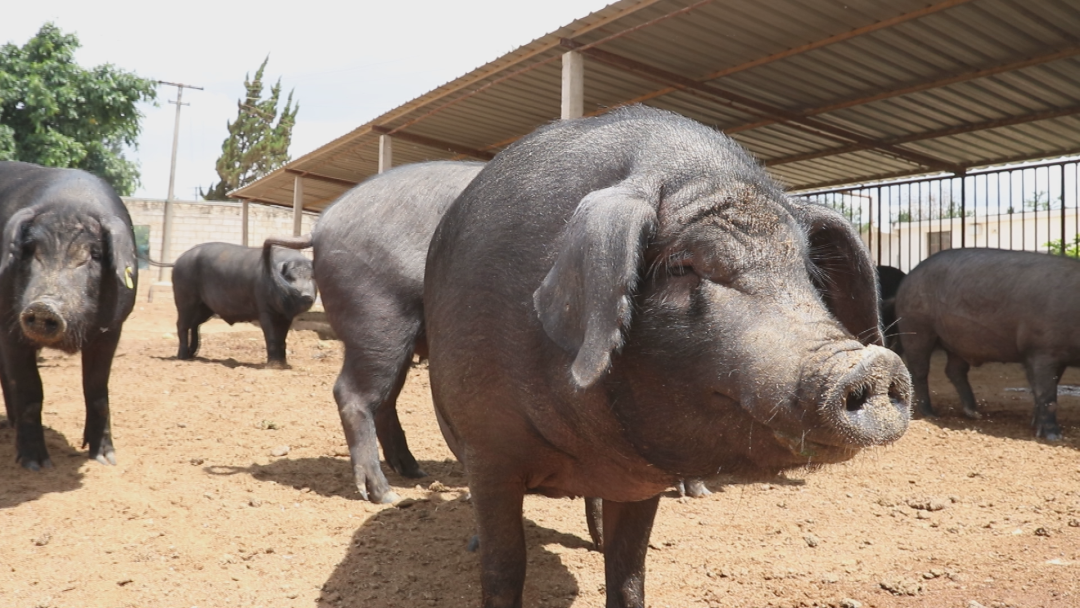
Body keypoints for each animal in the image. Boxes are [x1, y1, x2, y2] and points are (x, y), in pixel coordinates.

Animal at [0, 161, 139, 470]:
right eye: (30, 250)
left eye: (95, 254)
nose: (43, 306)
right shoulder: (10, 327)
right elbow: (30, 390)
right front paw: (35, 465)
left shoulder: (112, 331)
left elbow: (97, 389)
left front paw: (105, 459)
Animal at [171, 242, 315, 367]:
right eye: (289, 277)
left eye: (311, 277)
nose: (307, 295)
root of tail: (178, 261)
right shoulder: (264, 309)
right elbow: (271, 336)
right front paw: (273, 366)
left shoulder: (286, 316)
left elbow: (282, 339)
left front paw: (283, 364)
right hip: (184, 298)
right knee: (181, 324)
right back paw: (182, 357)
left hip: (205, 307)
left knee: (194, 324)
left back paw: (193, 354)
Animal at [270, 160, 486, 505]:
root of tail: (320, 227)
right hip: (377, 321)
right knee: (352, 394)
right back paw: (385, 495)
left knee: (384, 401)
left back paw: (415, 472)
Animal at [421, 107, 911, 608]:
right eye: (679, 265)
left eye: (808, 274)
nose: (874, 366)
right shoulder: (488, 450)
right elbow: (505, 567)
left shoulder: (639, 482)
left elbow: (629, 568)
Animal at [894, 247, 1071, 442]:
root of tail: (908, 277)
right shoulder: (1041, 350)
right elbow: (1047, 395)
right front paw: (1055, 437)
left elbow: (1043, 389)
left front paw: (1037, 427)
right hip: (916, 325)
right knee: (919, 369)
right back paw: (931, 414)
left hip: (956, 340)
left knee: (954, 370)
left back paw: (975, 413)